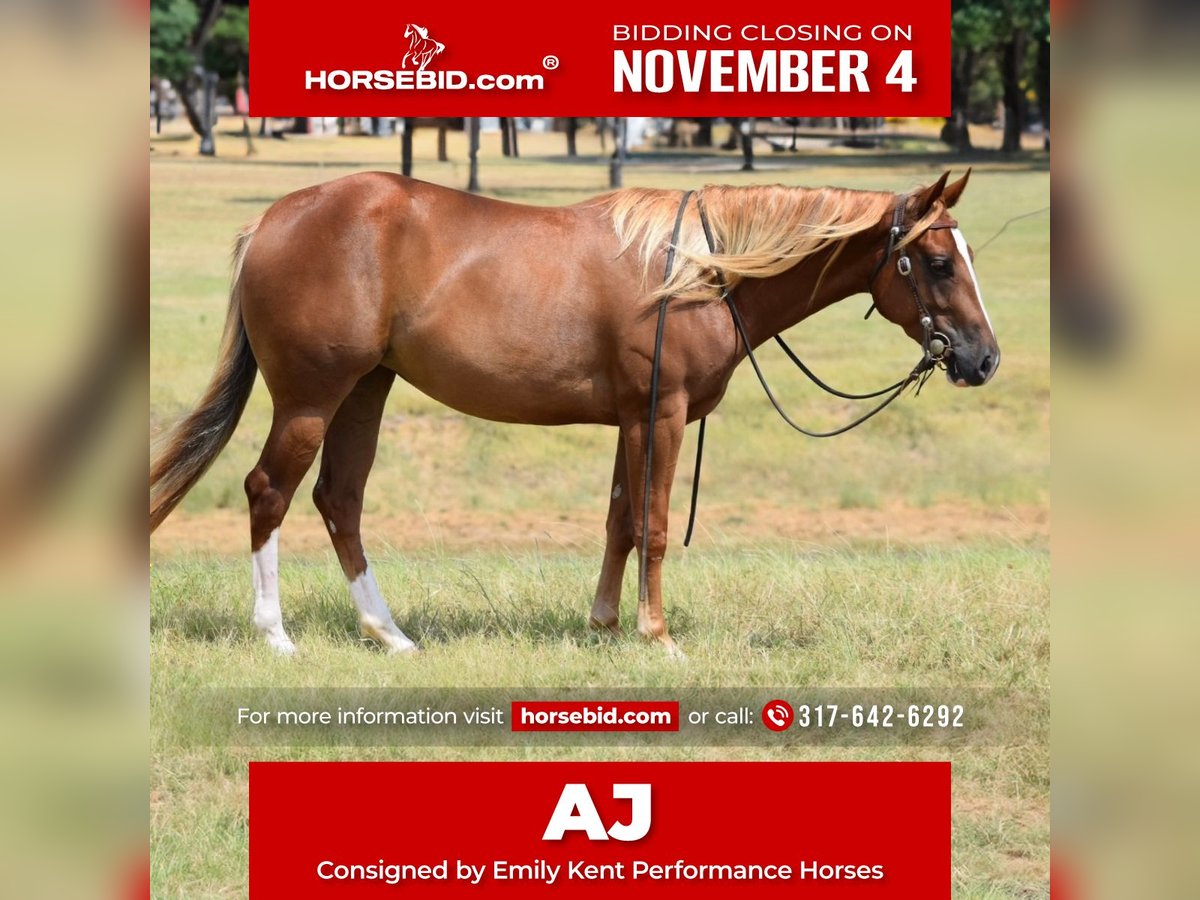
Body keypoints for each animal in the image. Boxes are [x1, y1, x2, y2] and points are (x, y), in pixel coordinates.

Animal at [147, 172, 993, 657]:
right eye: (938, 263)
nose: (983, 358)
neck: (702, 270)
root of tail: (271, 221)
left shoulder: (631, 418)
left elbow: (619, 520)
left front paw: (606, 624)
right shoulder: (663, 414)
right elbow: (653, 524)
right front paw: (656, 636)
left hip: (365, 390)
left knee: (338, 500)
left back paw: (390, 635)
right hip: (311, 398)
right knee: (269, 493)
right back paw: (276, 635)